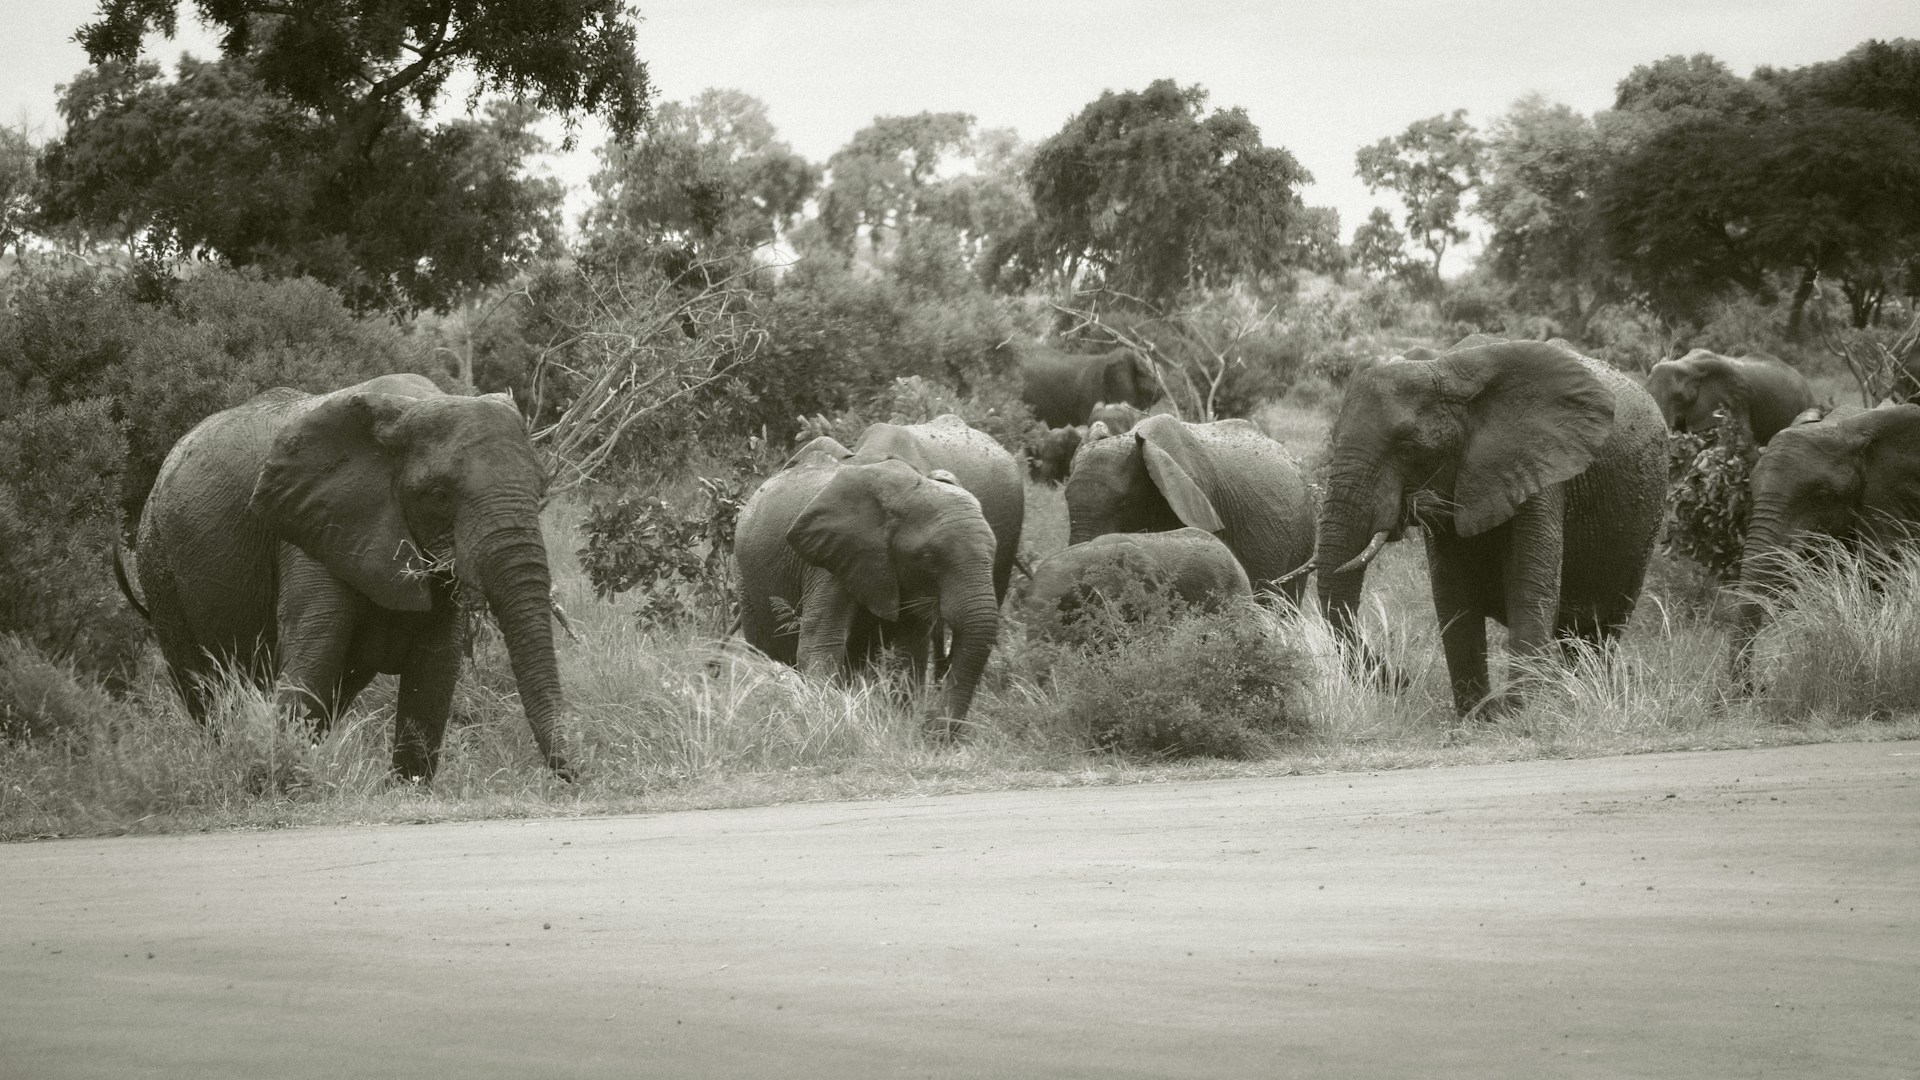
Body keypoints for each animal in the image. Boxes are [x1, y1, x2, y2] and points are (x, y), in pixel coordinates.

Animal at [127, 374, 573, 780]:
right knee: (203, 686)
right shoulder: (313, 524)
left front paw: (409, 790)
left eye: (541, 490)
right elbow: (316, 653)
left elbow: (435, 666)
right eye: (438, 496)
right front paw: (280, 782)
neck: (411, 407)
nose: (572, 774)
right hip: (158, 560)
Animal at [735, 416, 1018, 728]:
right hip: (747, 581)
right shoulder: (832, 557)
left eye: (991, 555)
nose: (931, 726)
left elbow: (909, 651)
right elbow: (821, 644)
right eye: (928, 558)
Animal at [1312, 338, 1667, 716]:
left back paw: (1583, 699)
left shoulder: (1539, 467)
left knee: (1601, 631)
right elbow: (1452, 594)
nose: (1399, 678)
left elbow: (1529, 588)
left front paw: (1518, 714)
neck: (1447, 371)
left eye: (1408, 448)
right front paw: (1479, 717)